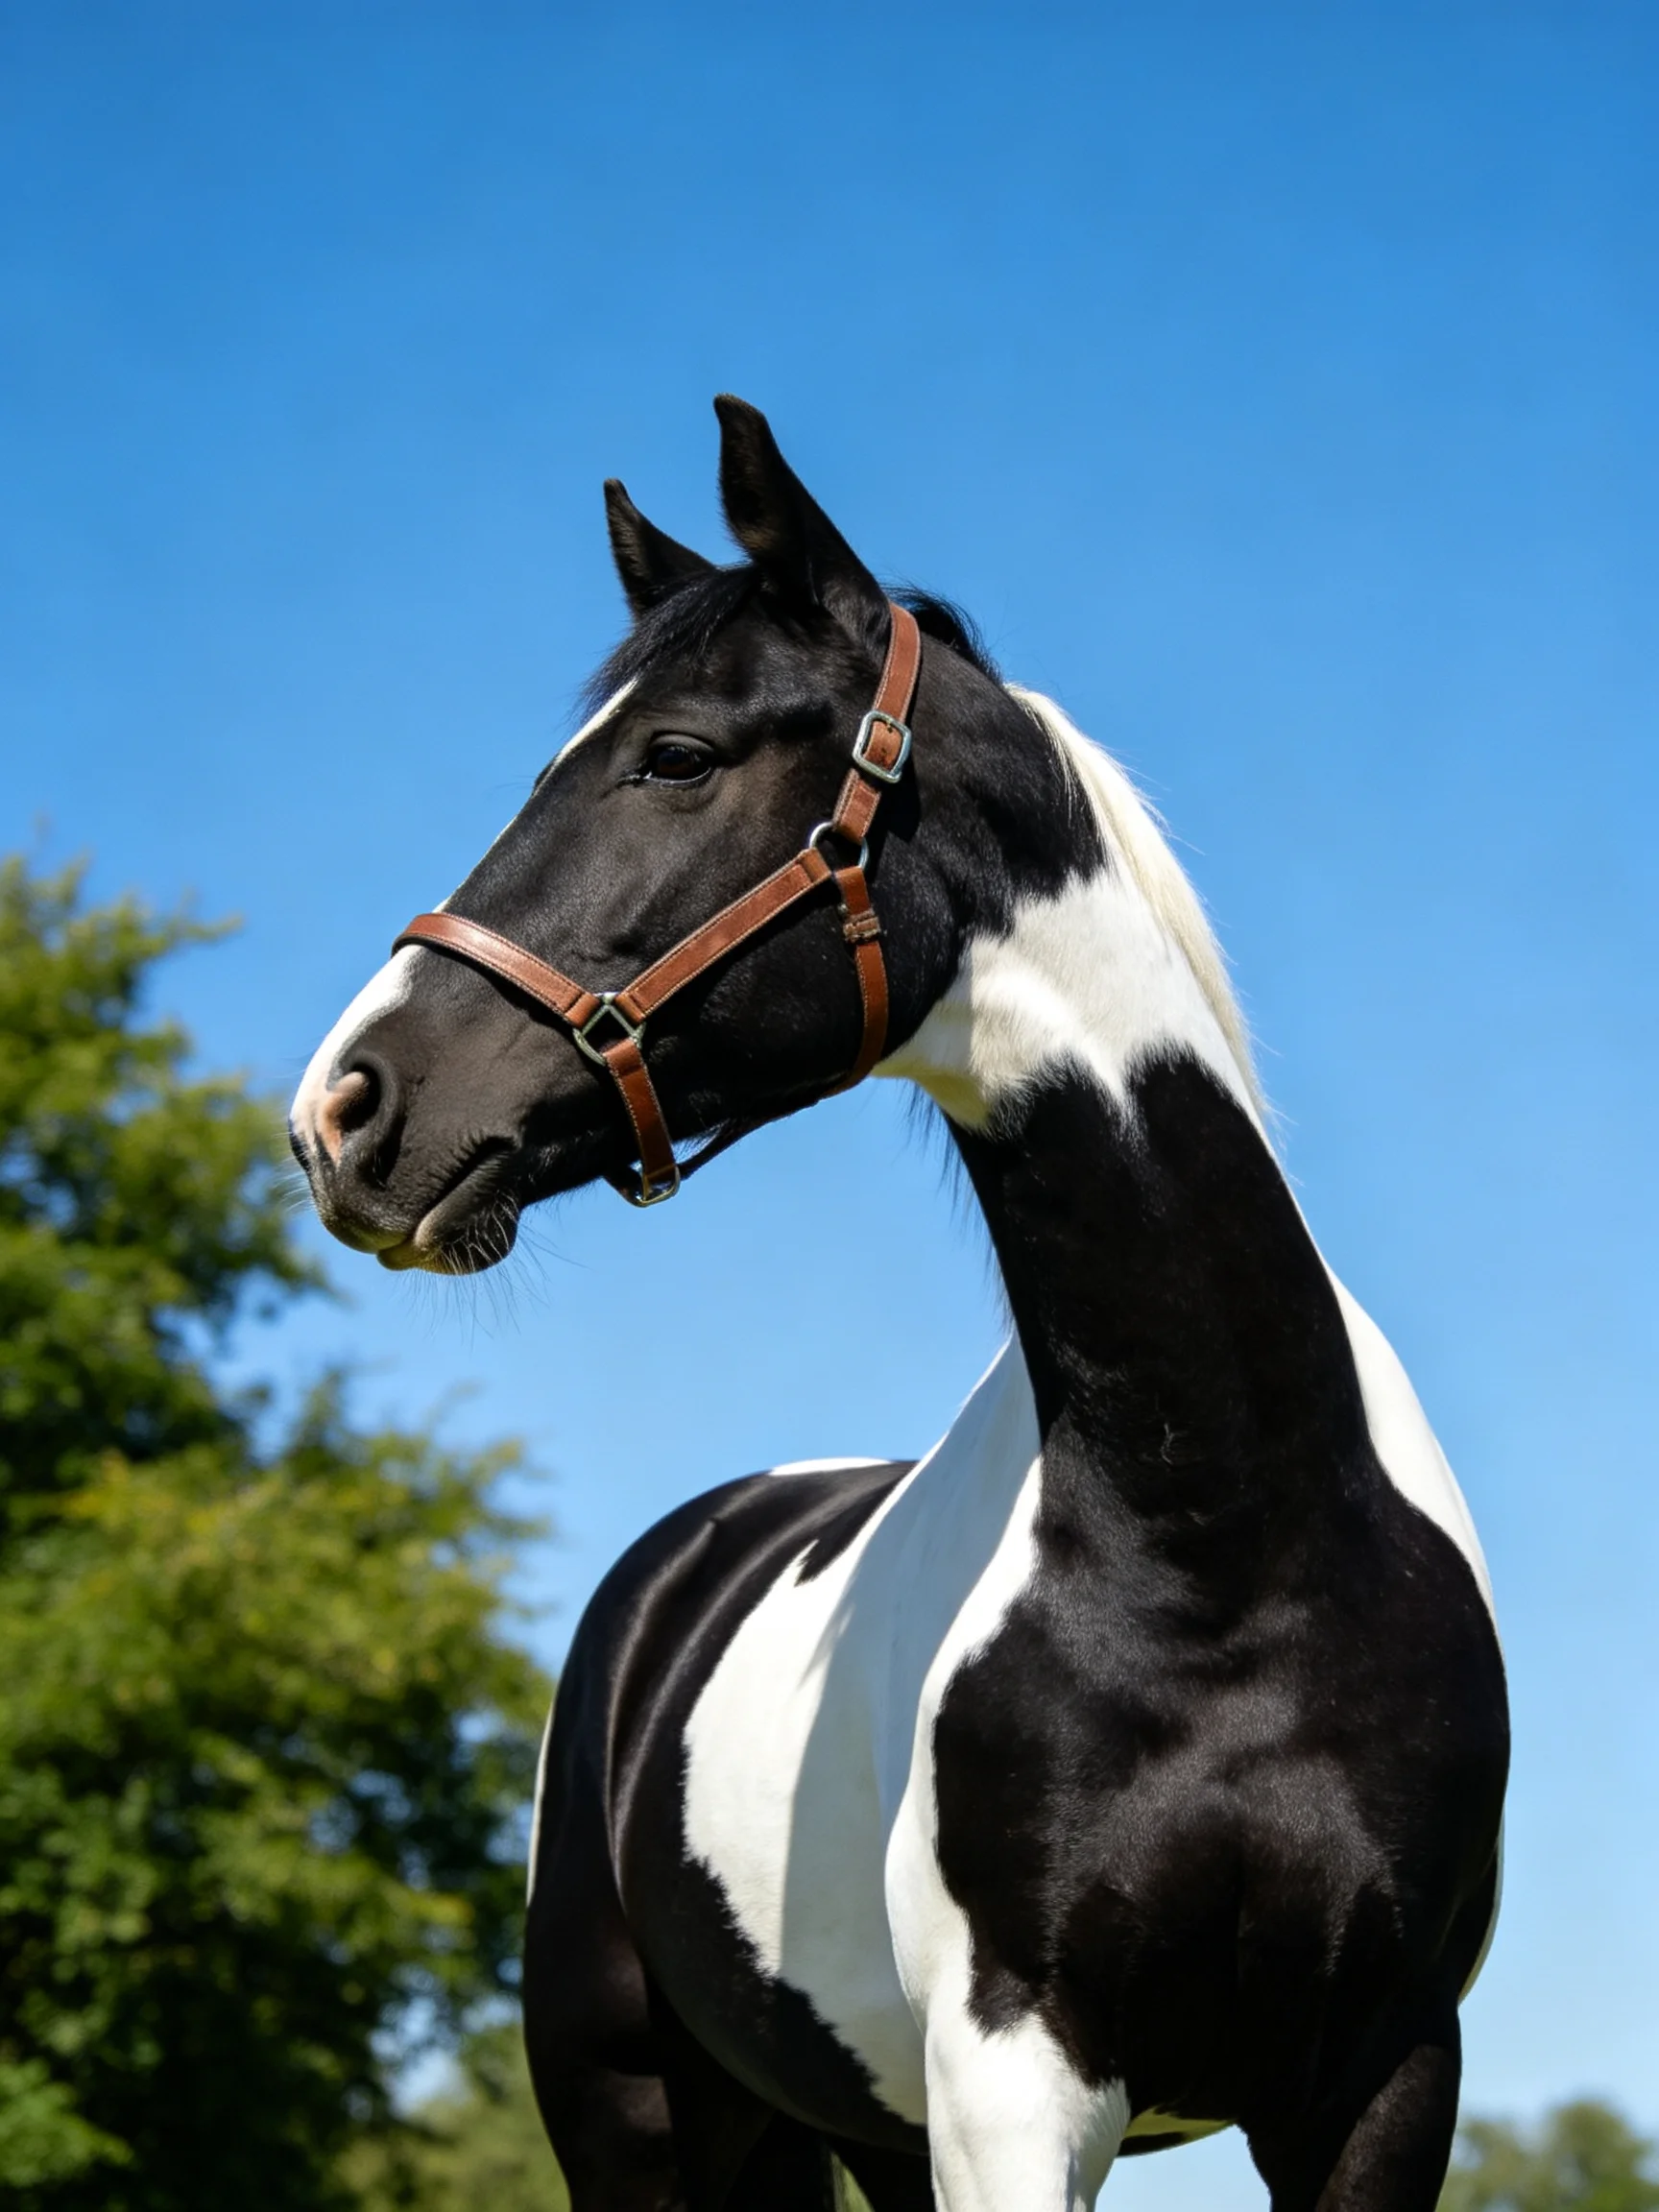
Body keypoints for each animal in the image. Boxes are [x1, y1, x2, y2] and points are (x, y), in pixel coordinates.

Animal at [289, 397, 1508, 2212]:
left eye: (676, 757)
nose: (345, 1107)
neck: (1232, 1536)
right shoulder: (1016, 2080)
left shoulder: (1381, 2076)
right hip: (633, 2105)